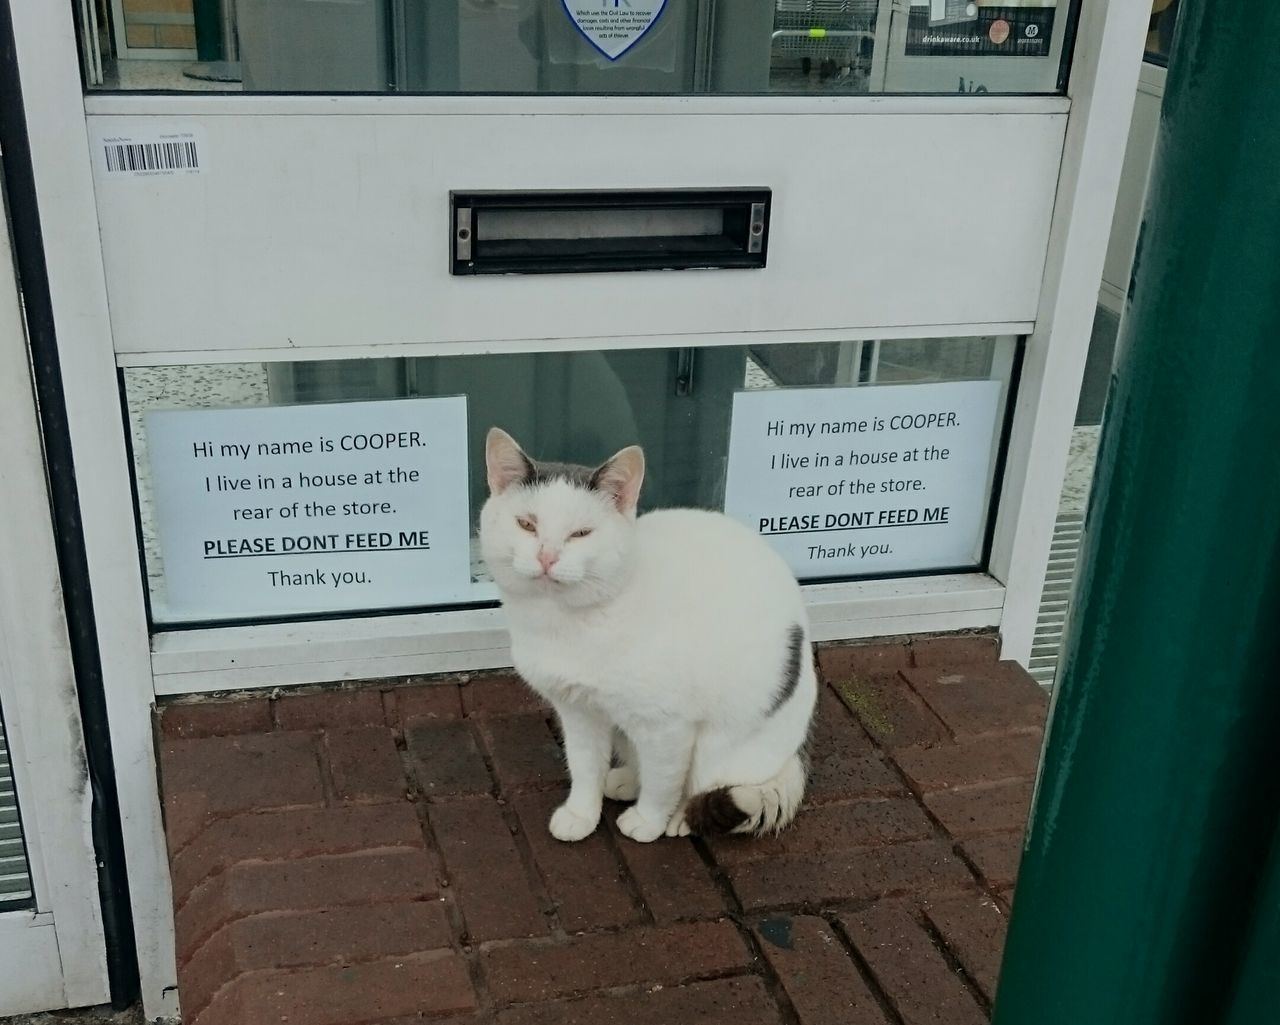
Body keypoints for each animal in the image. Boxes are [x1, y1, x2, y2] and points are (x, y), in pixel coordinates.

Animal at [476, 424, 814, 839]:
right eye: (527, 524)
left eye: (581, 533)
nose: (547, 556)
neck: (565, 623)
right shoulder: (578, 712)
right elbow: (584, 766)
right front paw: (581, 813)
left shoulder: (667, 728)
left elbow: (662, 781)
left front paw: (649, 820)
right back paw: (624, 781)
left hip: (722, 741)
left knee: (702, 784)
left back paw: (680, 818)